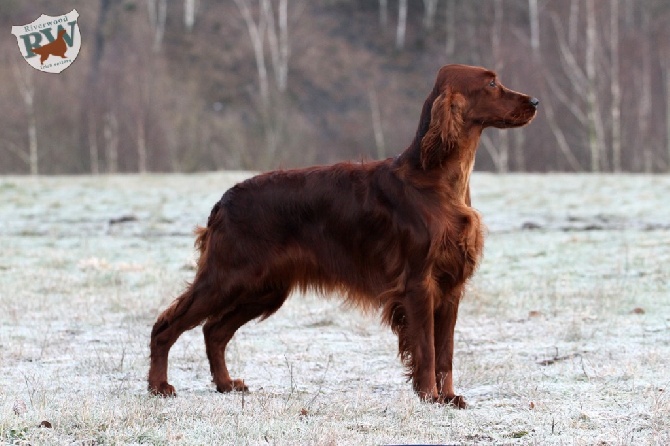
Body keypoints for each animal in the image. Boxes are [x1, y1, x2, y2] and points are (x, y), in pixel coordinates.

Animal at [150, 63, 540, 408]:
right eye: (491, 83)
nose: (535, 102)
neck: (436, 182)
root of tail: (225, 201)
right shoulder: (419, 283)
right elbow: (427, 350)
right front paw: (430, 396)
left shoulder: (451, 285)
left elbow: (445, 352)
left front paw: (448, 397)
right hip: (227, 277)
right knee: (166, 325)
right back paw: (159, 386)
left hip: (263, 289)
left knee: (213, 331)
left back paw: (226, 384)